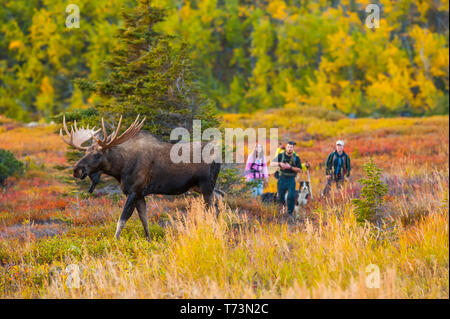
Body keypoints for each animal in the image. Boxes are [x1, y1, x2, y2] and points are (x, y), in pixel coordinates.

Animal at [60, 115, 221, 240]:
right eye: (85, 151)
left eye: (97, 155)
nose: (76, 170)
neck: (121, 168)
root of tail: (220, 157)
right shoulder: (139, 195)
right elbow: (144, 220)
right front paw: (149, 241)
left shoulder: (134, 191)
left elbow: (122, 220)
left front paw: (114, 242)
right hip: (199, 187)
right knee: (219, 200)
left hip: (206, 186)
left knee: (212, 211)